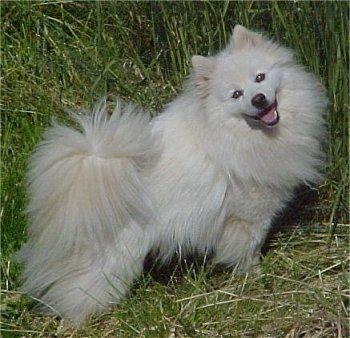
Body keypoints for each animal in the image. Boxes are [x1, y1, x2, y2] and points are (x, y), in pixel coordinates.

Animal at [17, 25, 326, 324]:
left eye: (260, 77)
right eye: (236, 94)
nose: (259, 99)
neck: (239, 136)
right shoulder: (249, 216)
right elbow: (249, 250)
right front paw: (255, 277)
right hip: (114, 260)